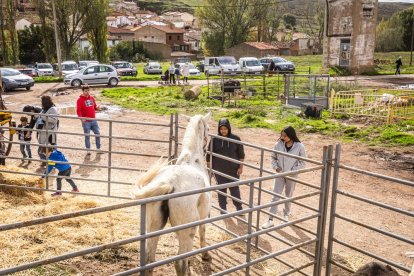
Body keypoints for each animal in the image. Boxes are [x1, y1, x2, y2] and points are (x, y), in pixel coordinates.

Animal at [132, 112, 212, 276]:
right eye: (207, 128)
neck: (192, 159)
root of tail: (170, 182)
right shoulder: (203, 216)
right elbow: (203, 231)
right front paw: (205, 255)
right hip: (187, 231)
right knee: (179, 263)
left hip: (154, 227)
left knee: (149, 260)